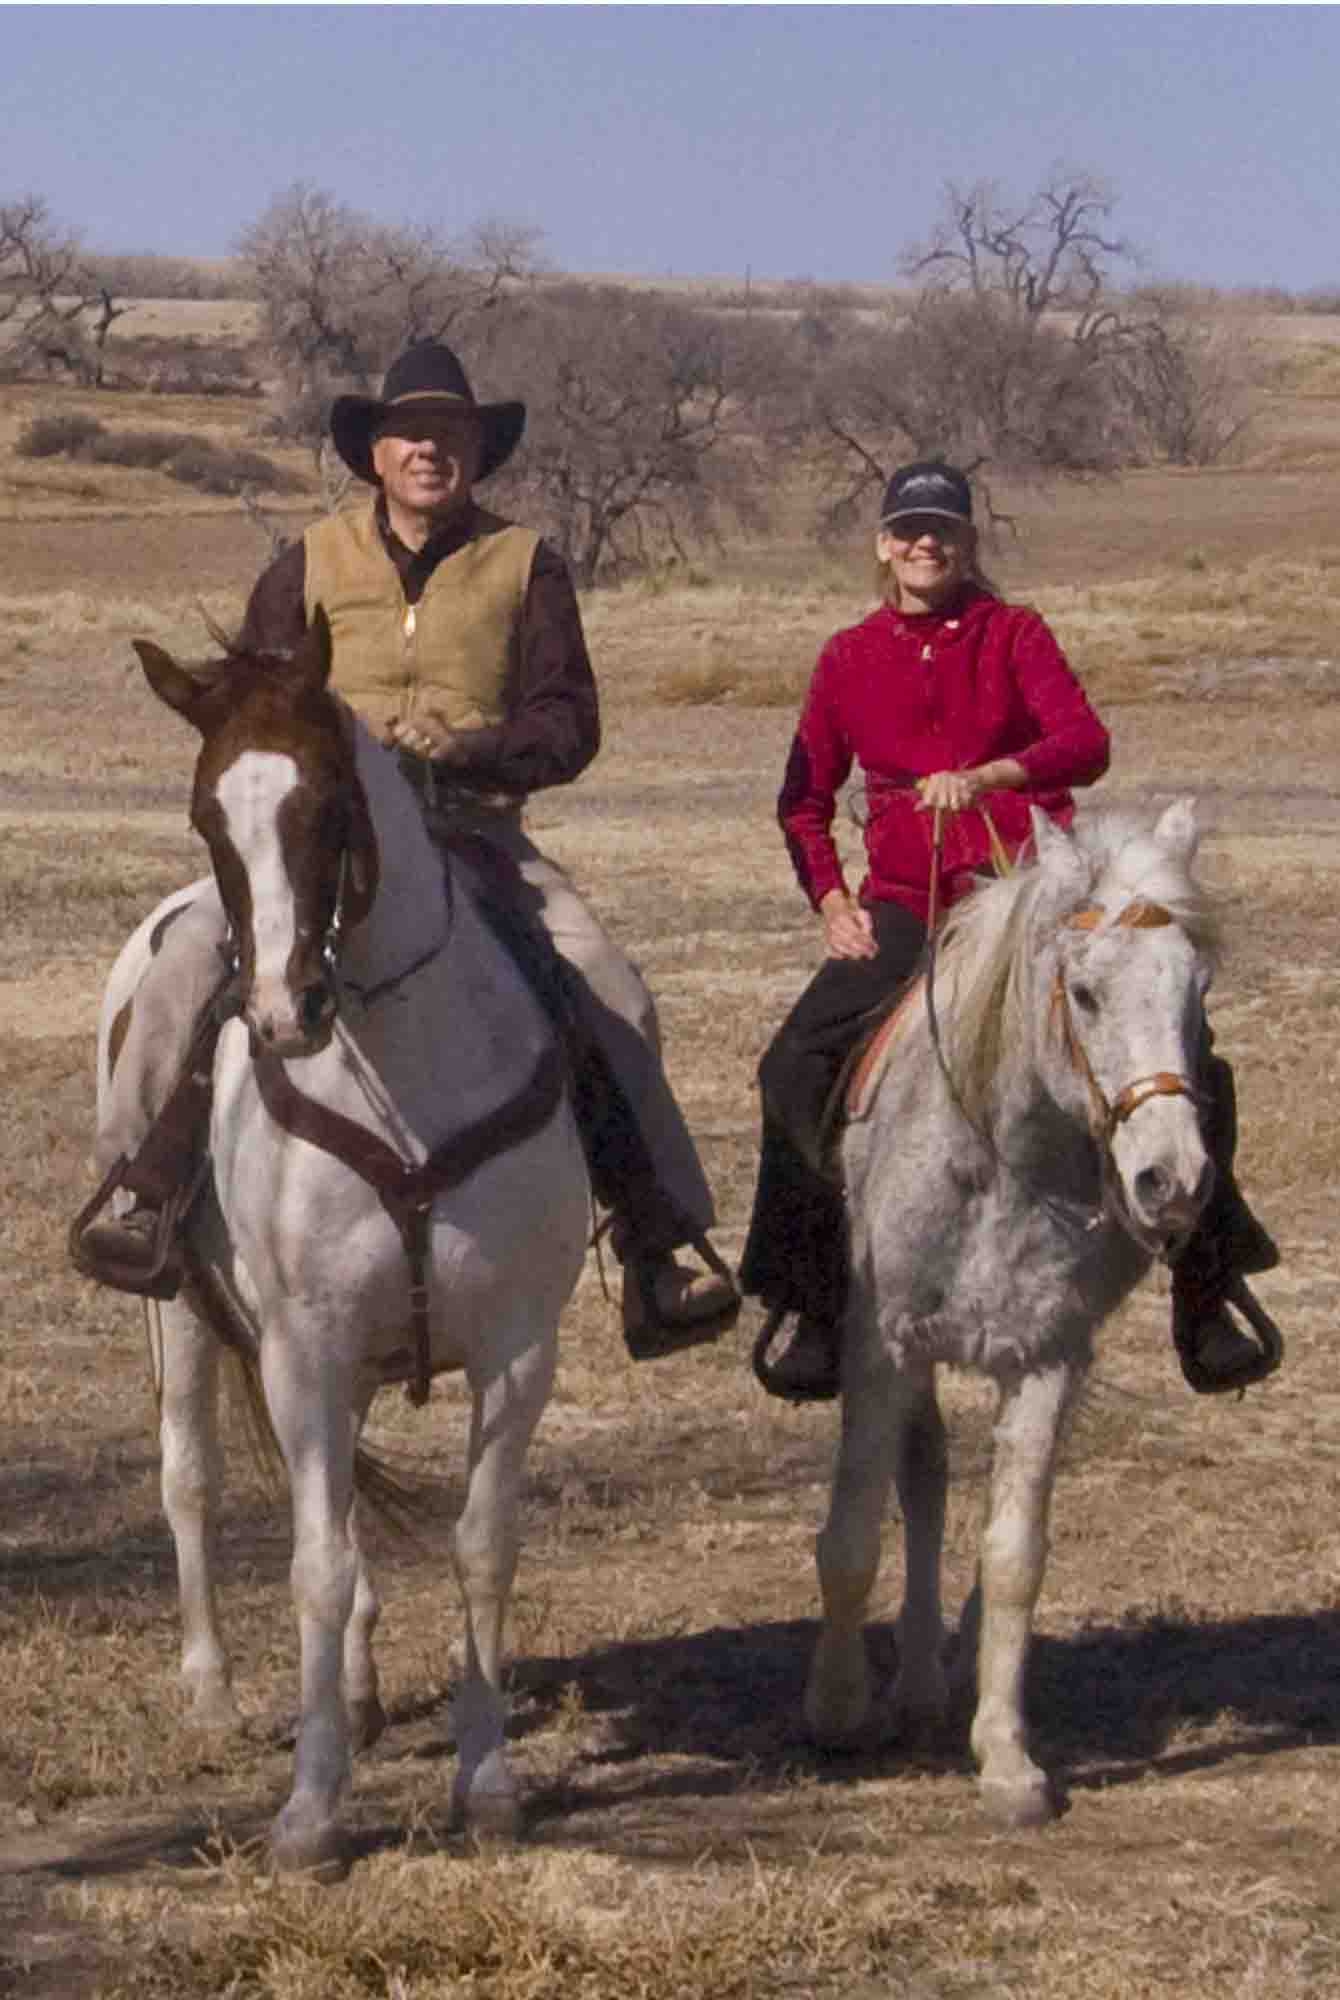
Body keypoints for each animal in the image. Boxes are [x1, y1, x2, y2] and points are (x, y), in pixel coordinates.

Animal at [97, 612, 592, 1872]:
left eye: (326, 803)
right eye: (206, 815)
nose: (282, 1013)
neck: (404, 1074)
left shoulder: (517, 1350)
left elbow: (479, 1544)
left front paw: (488, 1781)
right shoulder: (302, 1348)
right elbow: (314, 1562)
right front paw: (312, 1808)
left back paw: (360, 1692)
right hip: (181, 1315)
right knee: (191, 1479)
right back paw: (214, 1694)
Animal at [804, 800, 1224, 1832]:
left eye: (1197, 991)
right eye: (1086, 993)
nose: (1172, 1181)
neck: (998, 1160)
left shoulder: (1048, 1355)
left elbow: (1014, 1556)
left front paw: (1006, 1758)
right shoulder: (883, 1346)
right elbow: (854, 1530)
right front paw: (836, 1710)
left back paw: (933, 1680)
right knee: (917, 1483)